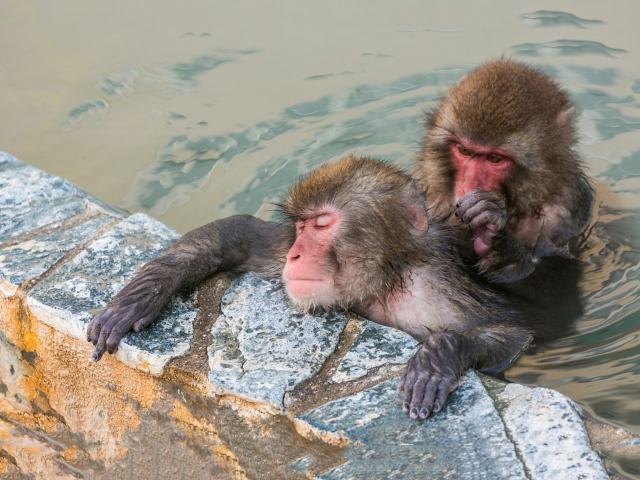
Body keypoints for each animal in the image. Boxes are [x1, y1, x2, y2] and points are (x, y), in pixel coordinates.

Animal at [89, 158, 540, 420]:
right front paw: (138, 298)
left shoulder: (436, 293)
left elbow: (510, 335)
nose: (296, 255)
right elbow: (239, 232)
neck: (379, 281)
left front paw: (436, 359)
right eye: (301, 225)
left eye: (323, 224)